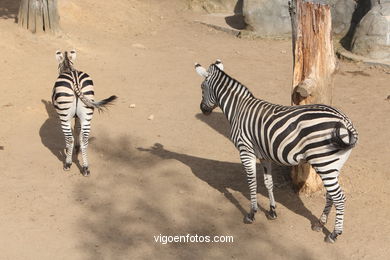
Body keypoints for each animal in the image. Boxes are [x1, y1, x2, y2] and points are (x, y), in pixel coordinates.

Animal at [193, 60, 358, 243]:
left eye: (202, 87)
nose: (203, 110)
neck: (238, 109)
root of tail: (344, 120)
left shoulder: (245, 150)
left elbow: (252, 182)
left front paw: (251, 214)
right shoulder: (264, 155)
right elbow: (268, 182)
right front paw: (272, 211)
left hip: (324, 163)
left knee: (339, 197)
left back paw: (334, 234)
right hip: (334, 164)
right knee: (331, 195)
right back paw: (320, 223)